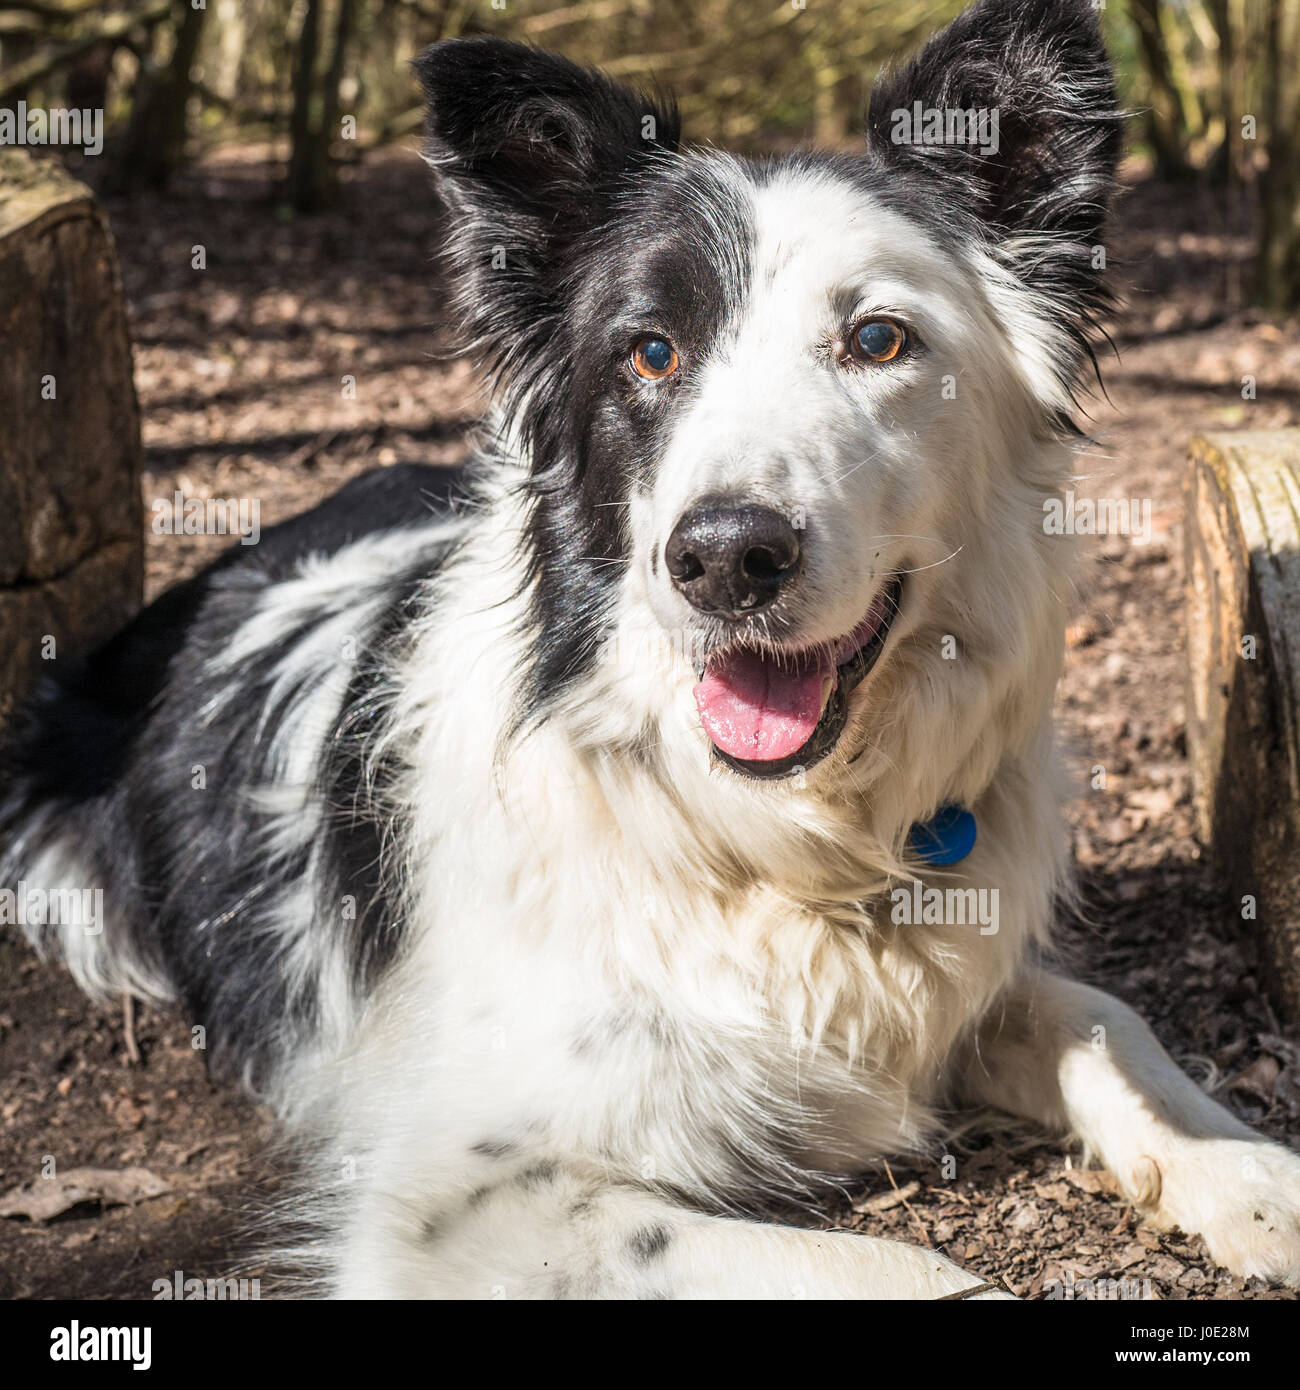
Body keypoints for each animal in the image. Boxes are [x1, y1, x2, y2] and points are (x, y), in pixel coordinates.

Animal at [2, 2, 1300, 1301]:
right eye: (651, 353)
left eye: (879, 339)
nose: (725, 556)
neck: (770, 848)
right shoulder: (456, 1201)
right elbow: (907, 1270)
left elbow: (1101, 1017)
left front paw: (1251, 1177)